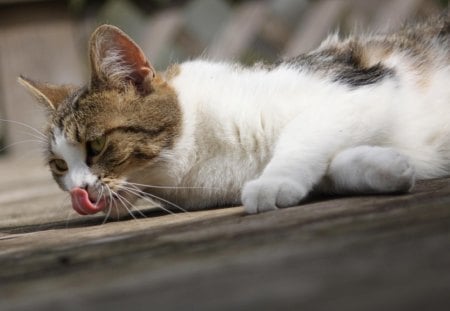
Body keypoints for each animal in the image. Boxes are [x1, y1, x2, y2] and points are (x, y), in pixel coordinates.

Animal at [18, 12, 450, 219]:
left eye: (96, 145)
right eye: (59, 165)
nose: (76, 189)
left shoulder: (356, 86)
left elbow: (303, 134)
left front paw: (272, 183)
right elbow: (333, 165)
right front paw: (388, 166)